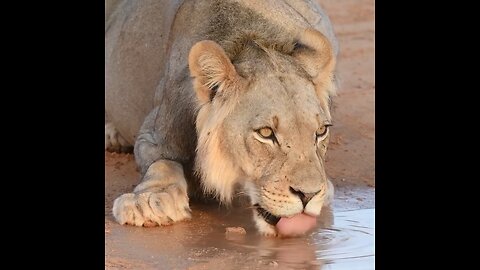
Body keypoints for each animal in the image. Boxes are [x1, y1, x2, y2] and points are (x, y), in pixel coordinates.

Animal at [106, 0, 338, 236]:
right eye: (266, 133)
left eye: (321, 131)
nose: (308, 195)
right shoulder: (153, 135)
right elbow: (162, 163)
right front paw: (148, 202)